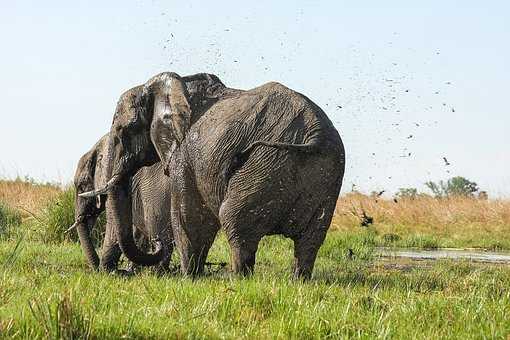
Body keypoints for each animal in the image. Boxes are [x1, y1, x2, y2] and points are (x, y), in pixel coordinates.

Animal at [69, 133, 174, 270]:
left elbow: (114, 223)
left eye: (81, 187)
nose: (96, 268)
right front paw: (131, 269)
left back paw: (158, 271)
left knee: (161, 230)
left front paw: (107, 270)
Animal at [81, 72, 344, 278]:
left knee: (235, 221)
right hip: (325, 176)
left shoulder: (184, 153)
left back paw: (239, 280)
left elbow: (189, 216)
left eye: (123, 130)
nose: (156, 244)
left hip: (266, 163)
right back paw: (298, 280)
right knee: (311, 239)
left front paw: (190, 279)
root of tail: (315, 133)